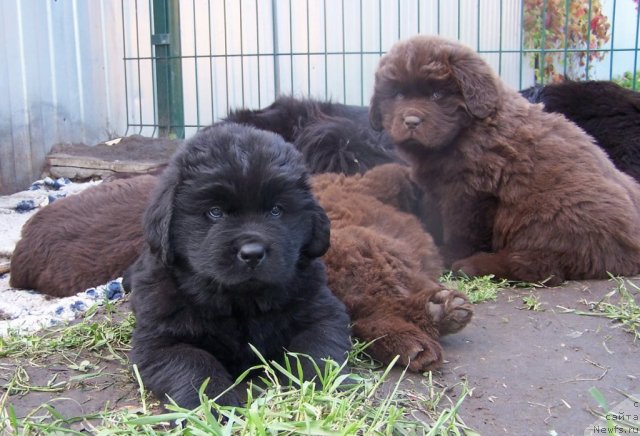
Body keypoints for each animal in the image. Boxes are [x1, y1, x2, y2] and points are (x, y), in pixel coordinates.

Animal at [128, 122, 352, 408]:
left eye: (276, 210)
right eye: (215, 212)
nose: (253, 253)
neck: (241, 303)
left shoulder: (324, 312)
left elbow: (317, 348)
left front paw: (319, 392)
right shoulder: (161, 341)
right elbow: (195, 365)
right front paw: (214, 405)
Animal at [368, 35, 640, 286]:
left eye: (436, 94)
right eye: (398, 95)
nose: (411, 121)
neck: (464, 132)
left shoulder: (470, 191)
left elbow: (461, 229)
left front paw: (447, 255)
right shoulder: (436, 187)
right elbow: (433, 217)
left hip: (552, 208)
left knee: (541, 266)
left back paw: (472, 266)